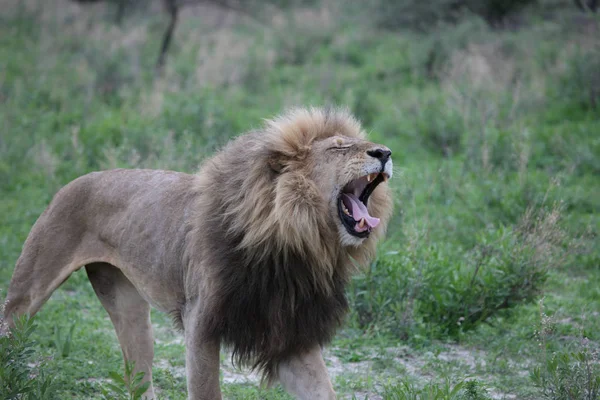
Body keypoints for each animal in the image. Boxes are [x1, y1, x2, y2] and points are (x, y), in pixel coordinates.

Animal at [3, 107, 394, 400]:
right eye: (338, 148)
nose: (386, 153)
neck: (296, 243)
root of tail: (73, 181)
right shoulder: (201, 322)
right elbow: (207, 391)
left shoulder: (291, 334)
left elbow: (323, 390)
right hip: (28, 289)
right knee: (11, 328)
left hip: (130, 310)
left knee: (138, 375)